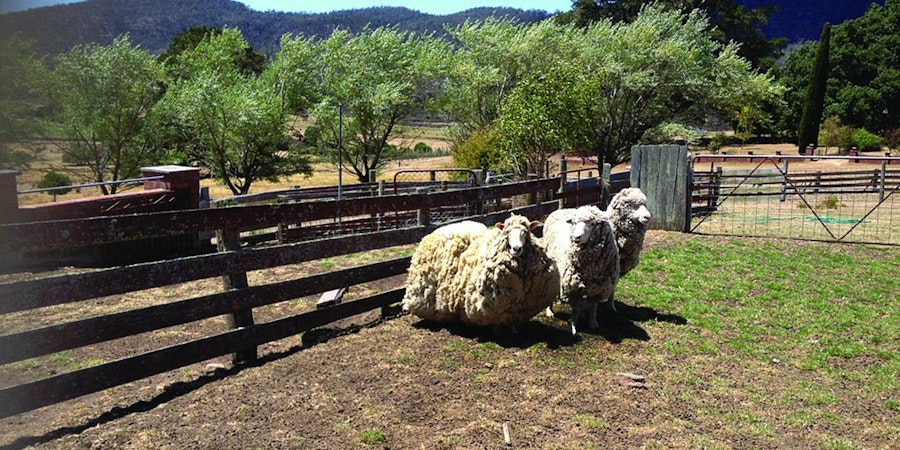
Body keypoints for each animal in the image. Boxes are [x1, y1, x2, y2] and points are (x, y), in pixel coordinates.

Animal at [402, 214, 560, 334]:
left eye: (525, 232)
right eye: (507, 232)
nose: (516, 249)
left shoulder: (515, 306)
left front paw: (513, 330)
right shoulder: (497, 304)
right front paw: (498, 331)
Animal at [542, 205, 620, 336]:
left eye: (593, 223)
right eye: (574, 222)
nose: (576, 237)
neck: (590, 269)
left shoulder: (598, 288)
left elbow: (593, 307)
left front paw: (593, 323)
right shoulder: (572, 288)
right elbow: (575, 309)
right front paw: (573, 324)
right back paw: (550, 311)